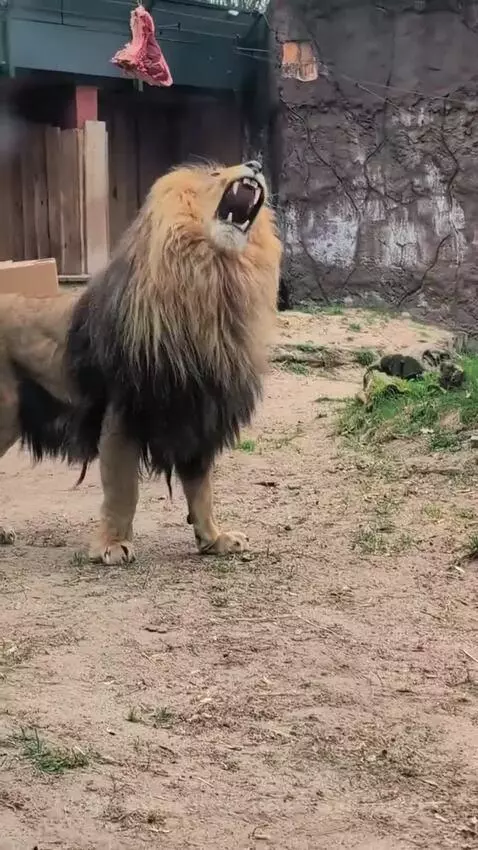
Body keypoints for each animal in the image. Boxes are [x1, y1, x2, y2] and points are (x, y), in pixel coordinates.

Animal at [0, 160, 282, 564]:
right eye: (213, 175)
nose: (256, 165)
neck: (211, 281)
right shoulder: (123, 410)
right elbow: (123, 489)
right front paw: (112, 545)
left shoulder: (199, 410)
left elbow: (202, 489)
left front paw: (215, 540)